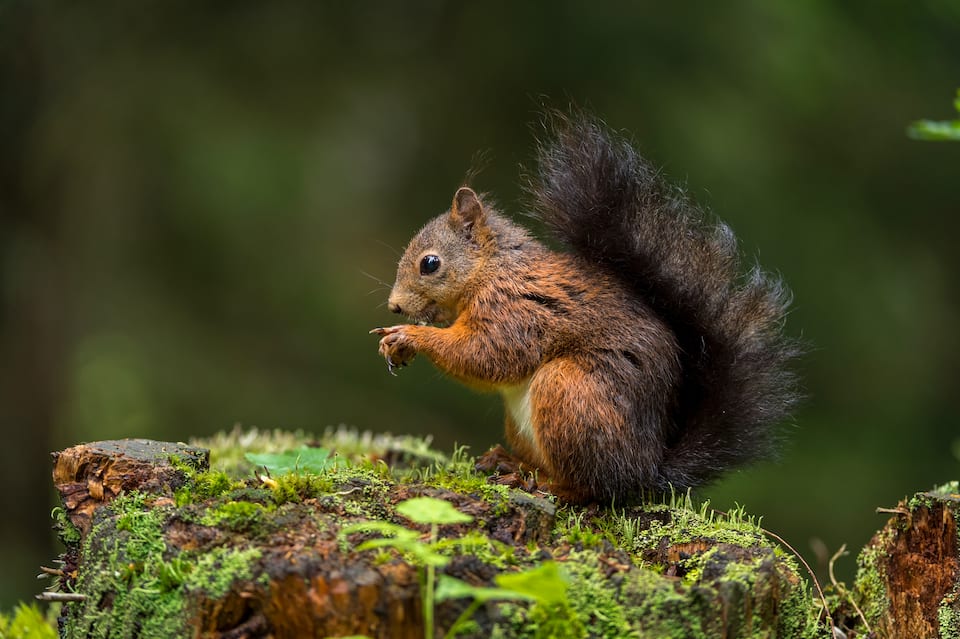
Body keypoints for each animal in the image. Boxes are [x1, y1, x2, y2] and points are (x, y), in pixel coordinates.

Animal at [371, 111, 801, 504]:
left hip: (571, 392)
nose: (394, 307)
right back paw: (512, 463)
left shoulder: (516, 310)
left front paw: (410, 336)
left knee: (594, 487)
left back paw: (545, 484)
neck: (491, 269)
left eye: (430, 263)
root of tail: (646, 471)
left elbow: (488, 355)